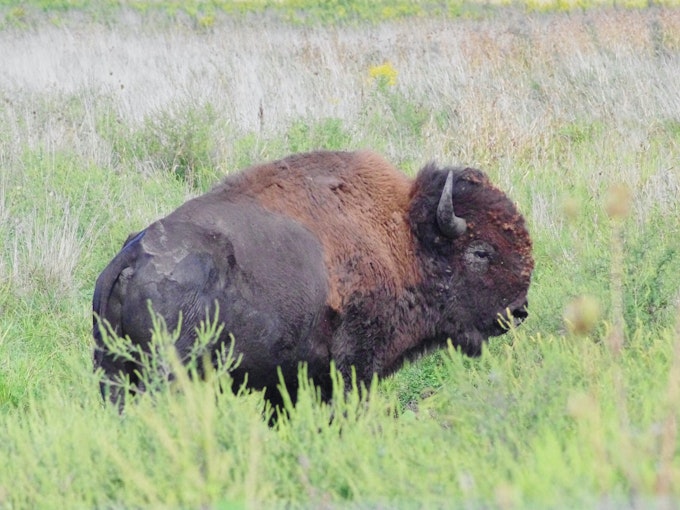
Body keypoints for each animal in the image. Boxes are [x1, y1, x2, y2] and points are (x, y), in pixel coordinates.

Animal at [93, 150, 533, 409]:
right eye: (481, 252)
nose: (518, 311)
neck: (402, 237)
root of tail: (132, 255)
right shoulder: (354, 367)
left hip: (113, 372)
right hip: (164, 373)